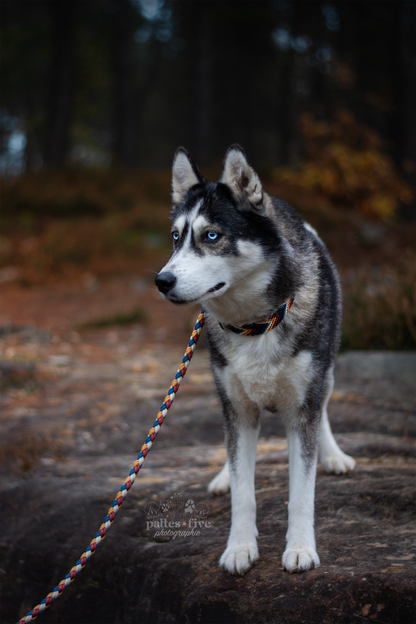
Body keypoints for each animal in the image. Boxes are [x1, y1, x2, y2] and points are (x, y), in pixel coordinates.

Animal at [154, 146, 356, 576]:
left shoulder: (302, 407)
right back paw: (223, 476)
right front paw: (240, 548)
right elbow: (243, 493)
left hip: (326, 373)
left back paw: (333, 455)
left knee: (325, 409)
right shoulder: (238, 410)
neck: (253, 325)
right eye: (176, 238)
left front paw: (300, 548)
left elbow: (302, 492)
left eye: (212, 236)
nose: (162, 281)